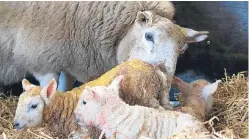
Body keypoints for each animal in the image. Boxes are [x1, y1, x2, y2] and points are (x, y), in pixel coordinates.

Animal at [0, 1, 208, 92]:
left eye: (181, 49)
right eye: (149, 36)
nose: (164, 81)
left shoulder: (70, 54)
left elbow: (65, 84)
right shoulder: (39, 58)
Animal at [13, 59, 172, 138]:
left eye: (34, 106)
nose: (15, 124)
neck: (64, 106)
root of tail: (154, 69)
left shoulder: (84, 132)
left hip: (146, 96)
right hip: (160, 94)